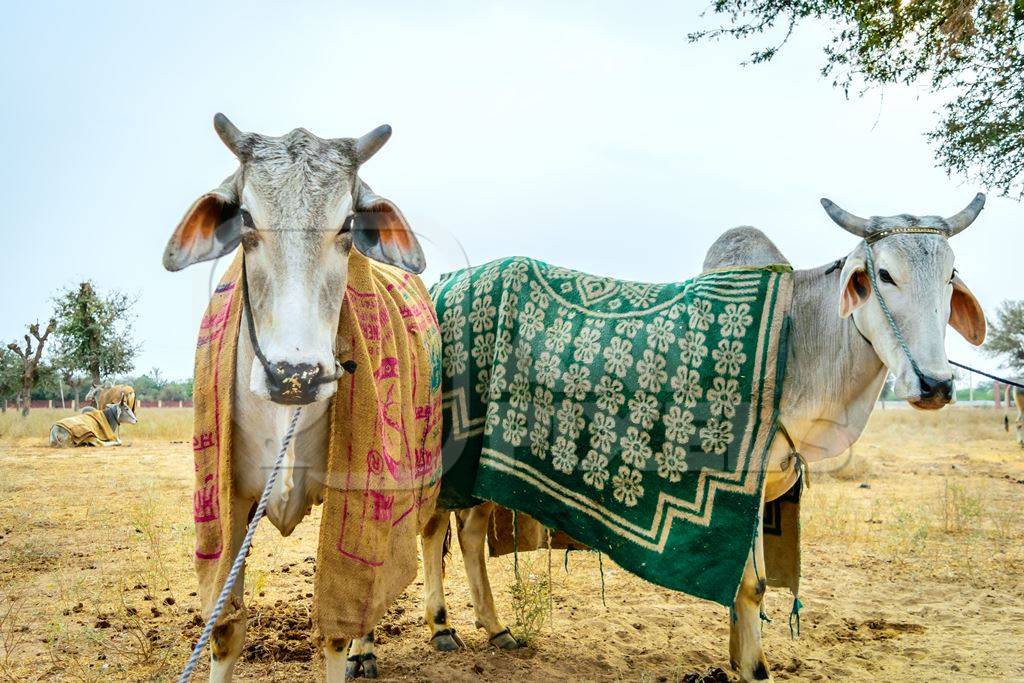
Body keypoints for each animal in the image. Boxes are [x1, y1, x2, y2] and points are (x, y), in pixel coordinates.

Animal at [415, 192, 983, 683]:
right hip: (446, 449)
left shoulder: (758, 492)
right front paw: (754, 668)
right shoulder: (739, 486)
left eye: (951, 275)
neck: (799, 337)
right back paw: (442, 627)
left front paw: (736, 657)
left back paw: (496, 628)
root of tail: (442, 284)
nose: (936, 384)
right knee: (433, 527)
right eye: (884, 274)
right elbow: (752, 586)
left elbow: (745, 587)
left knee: (469, 533)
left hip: (485, 465)